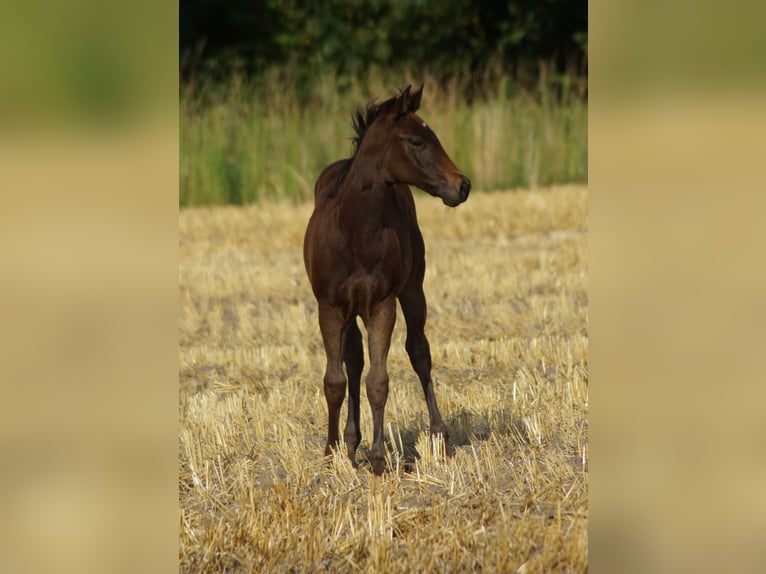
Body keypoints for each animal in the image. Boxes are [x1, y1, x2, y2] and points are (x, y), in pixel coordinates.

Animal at [303, 84, 471, 475]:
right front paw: (331, 453)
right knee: (353, 361)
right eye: (418, 141)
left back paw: (438, 435)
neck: (353, 230)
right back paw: (350, 443)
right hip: (351, 311)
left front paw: (379, 459)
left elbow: (378, 381)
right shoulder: (329, 307)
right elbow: (335, 380)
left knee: (419, 351)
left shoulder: (382, 304)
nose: (463, 185)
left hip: (413, 291)